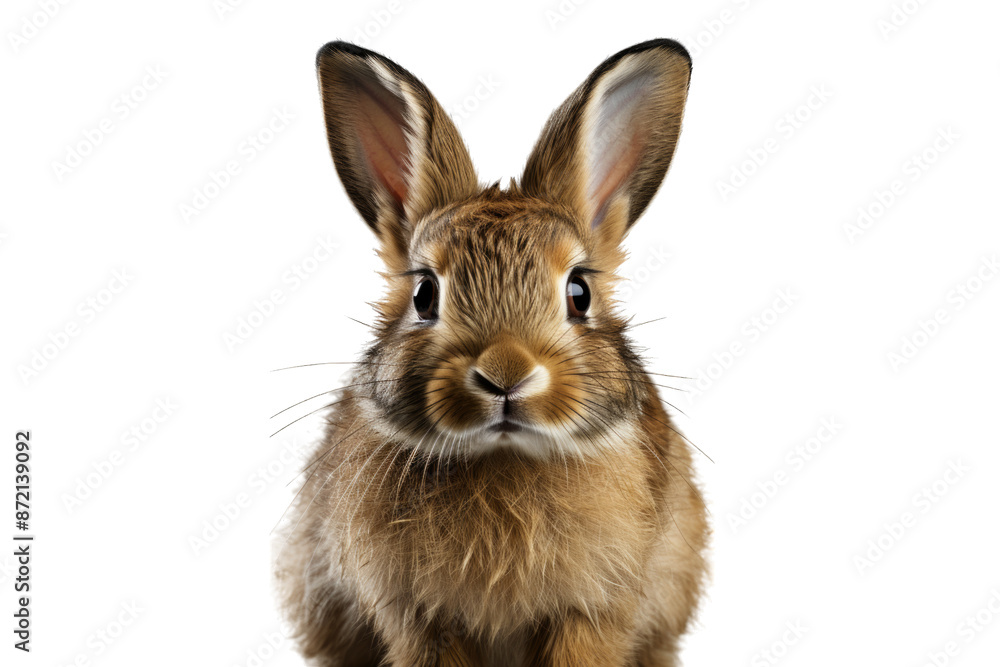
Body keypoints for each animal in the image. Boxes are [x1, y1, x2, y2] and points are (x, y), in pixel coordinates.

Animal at [275, 39, 708, 667]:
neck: (503, 457)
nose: (506, 375)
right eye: (424, 295)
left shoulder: (593, 610)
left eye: (579, 293)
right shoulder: (419, 617)